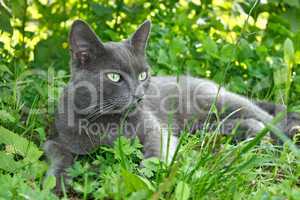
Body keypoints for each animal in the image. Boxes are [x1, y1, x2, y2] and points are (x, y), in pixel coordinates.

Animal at [43, 19, 298, 193]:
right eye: (114, 77)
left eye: (143, 74)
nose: (139, 96)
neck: (107, 122)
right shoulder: (58, 137)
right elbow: (58, 153)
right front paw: (56, 182)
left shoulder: (155, 130)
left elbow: (156, 152)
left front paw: (146, 178)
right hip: (201, 125)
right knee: (243, 124)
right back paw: (249, 136)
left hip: (220, 101)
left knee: (269, 118)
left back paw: (287, 136)